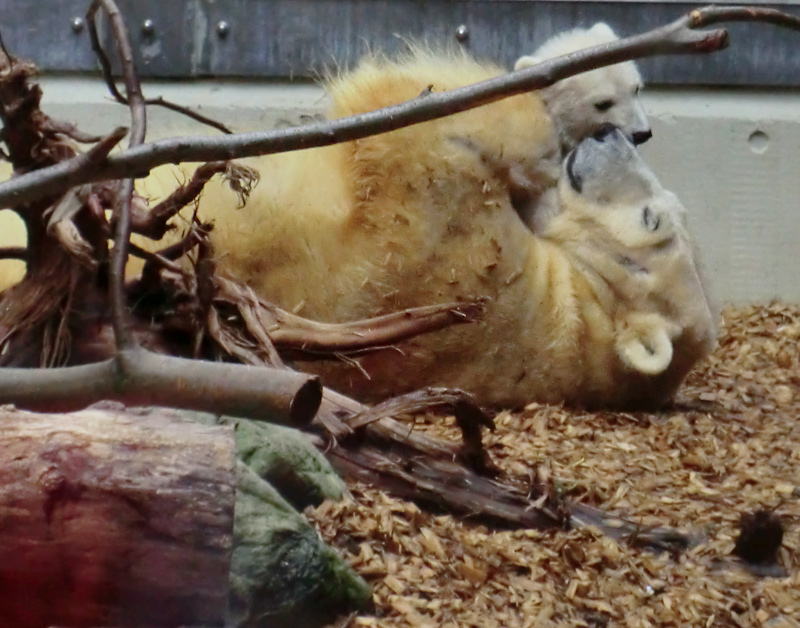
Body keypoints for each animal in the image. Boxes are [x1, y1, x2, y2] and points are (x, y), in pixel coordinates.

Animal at [148, 51, 712, 410]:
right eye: (670, 211)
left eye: (652, 218)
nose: (612, 136)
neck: (572, 312)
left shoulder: (444, 235)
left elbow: (419, 118)